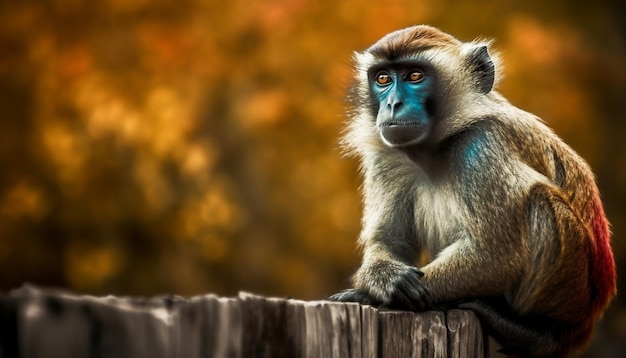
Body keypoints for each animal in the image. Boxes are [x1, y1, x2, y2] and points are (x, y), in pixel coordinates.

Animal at [326, 25, 616, 358]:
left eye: (415, 75)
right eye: (383, 78)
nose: (393, 104)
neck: (435, 149)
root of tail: (586, 322)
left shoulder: (481, 143)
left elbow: (494, 257)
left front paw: (365, 295)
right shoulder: (388, 158)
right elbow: (390, 241)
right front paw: (382, 279)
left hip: (571, 287)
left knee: (541, 200)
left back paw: (534, 332)